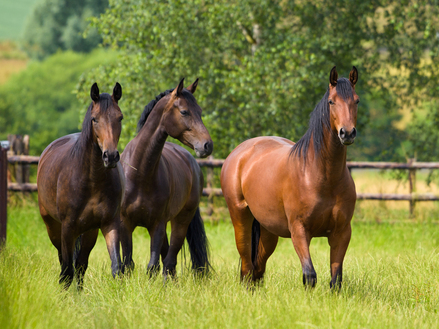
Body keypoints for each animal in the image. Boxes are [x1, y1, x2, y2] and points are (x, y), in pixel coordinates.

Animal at [37, 83, 125, 288]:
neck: (91, 180)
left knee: (80, 265)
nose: (110, 156)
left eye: (120, 117)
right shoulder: (67, 228)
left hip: (89, 232)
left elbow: (115, 266)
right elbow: (67, 271)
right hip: (53, 227)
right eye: (95, 119)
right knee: (64, 263)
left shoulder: (109, 224)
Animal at [120, 78, 213, 278]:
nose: (207, 145)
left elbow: (152, 266)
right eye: (184, 111)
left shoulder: (157, 225)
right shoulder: (125, 224)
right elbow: (128, 264)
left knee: (170, 261)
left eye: (200, 111)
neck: (140, 173)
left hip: (180, 221)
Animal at [222, 66, 360, 288]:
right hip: (240, 218)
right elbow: (310, 275)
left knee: (258, 267)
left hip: (268, 230)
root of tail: (239, 152)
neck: (321, 176)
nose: (347, 133)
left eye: (356, 101)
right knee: (246, 265)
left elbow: (335, 280)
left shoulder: (341, 233)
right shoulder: (299, 230)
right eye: (331, 101)